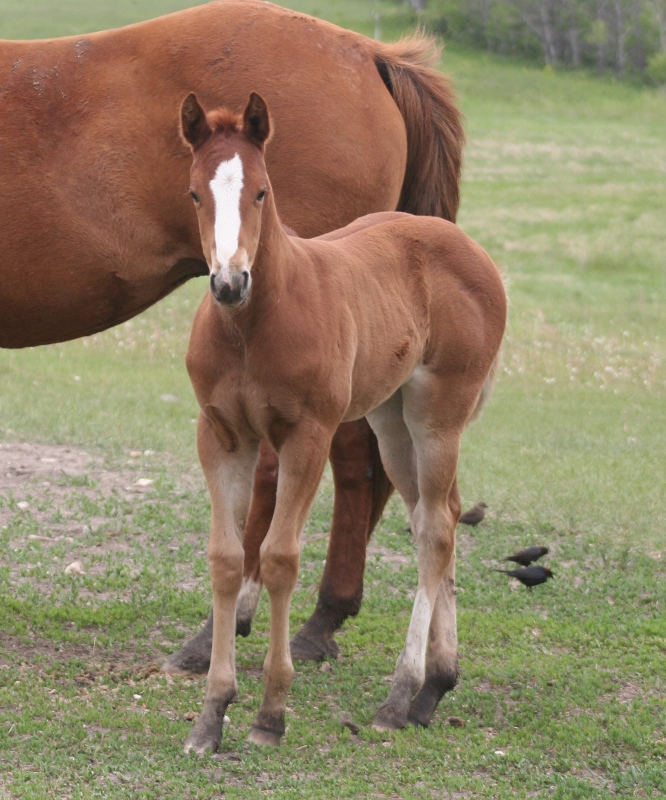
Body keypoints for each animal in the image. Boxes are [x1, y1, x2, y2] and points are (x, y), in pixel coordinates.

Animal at [179, 94, 506, 756]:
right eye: (197, 193)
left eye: (262, 191)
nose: (228, 282)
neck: (252, 327)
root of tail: (466, 244)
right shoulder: (222, 436)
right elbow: (227, 558)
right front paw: (212, 713)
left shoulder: (308, 434)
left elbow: (278, 557)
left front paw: (270, 713)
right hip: (392, 420)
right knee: (439, 515)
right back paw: (435, 688)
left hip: (438, 417)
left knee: (436, 530)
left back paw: (400, 696)